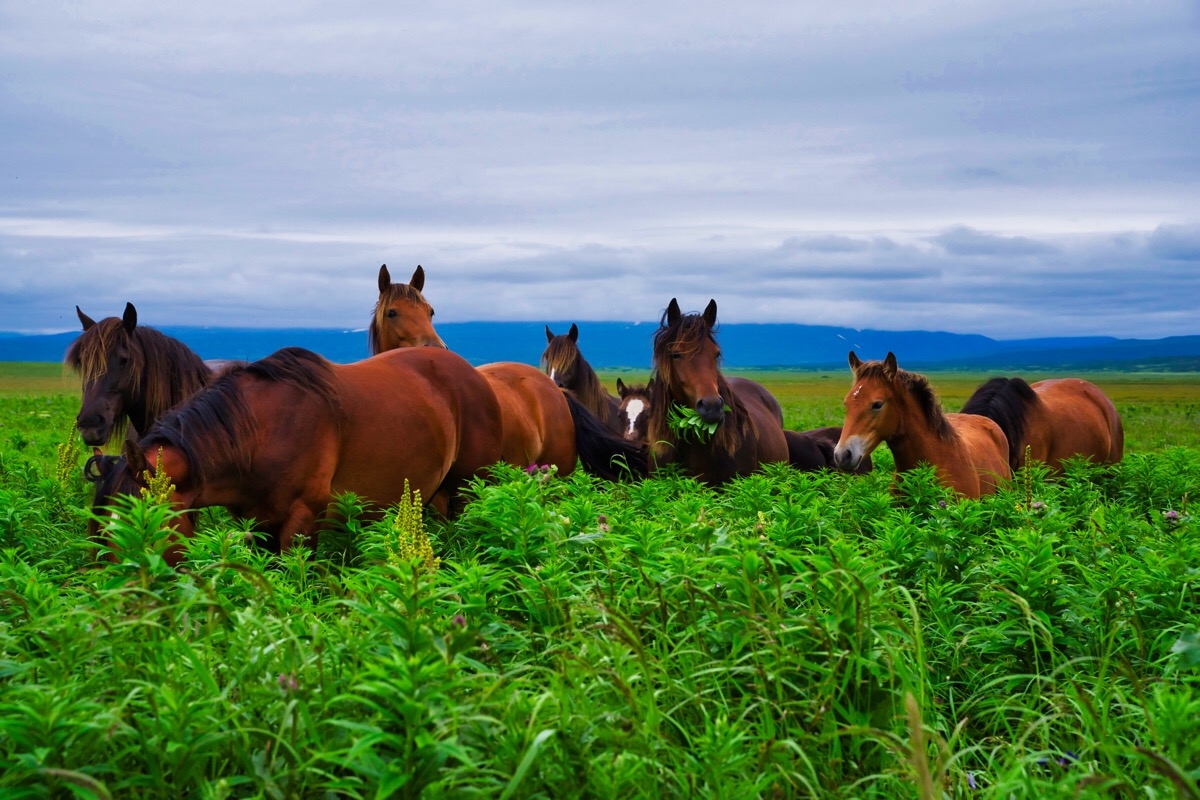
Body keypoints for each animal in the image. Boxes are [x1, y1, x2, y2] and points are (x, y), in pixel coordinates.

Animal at [85, 347, 506, 566]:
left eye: (144, 525)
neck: (259, 434)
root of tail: (475, 377)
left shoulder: (302, 519)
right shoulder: (258, 524)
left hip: (468, 488)